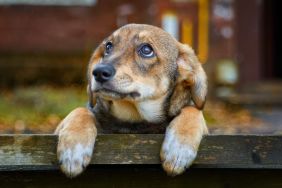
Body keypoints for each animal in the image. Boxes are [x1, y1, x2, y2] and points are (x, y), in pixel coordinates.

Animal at [55, 22, 209, 177]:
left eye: (146, 50)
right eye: (108, 46)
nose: (98, 72)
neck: (133, 118)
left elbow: (193, 110)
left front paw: (179, 148)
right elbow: (81, 110)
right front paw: (73, 148)